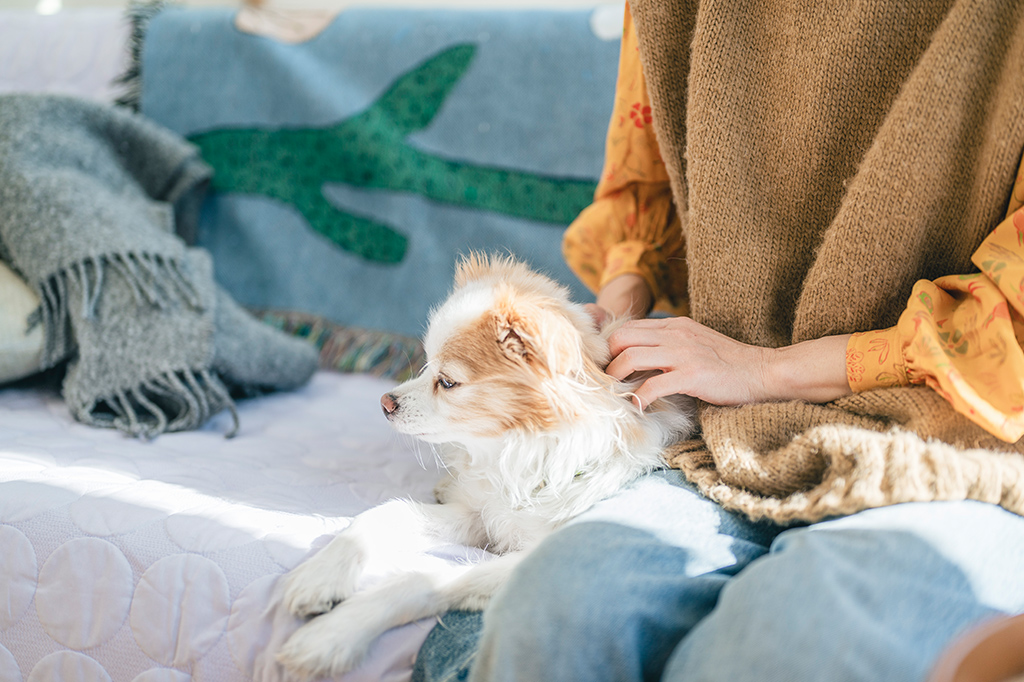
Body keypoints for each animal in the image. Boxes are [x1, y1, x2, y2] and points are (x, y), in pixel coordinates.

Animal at [278, 253, 696, 675]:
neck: (516, 452)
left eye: (447, 382)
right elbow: (384, 514)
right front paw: (320, 576)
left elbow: (424, 577)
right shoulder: (481, 514)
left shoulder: (521, 558)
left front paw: (335, 633)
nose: (385, 402)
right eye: (426, 365)